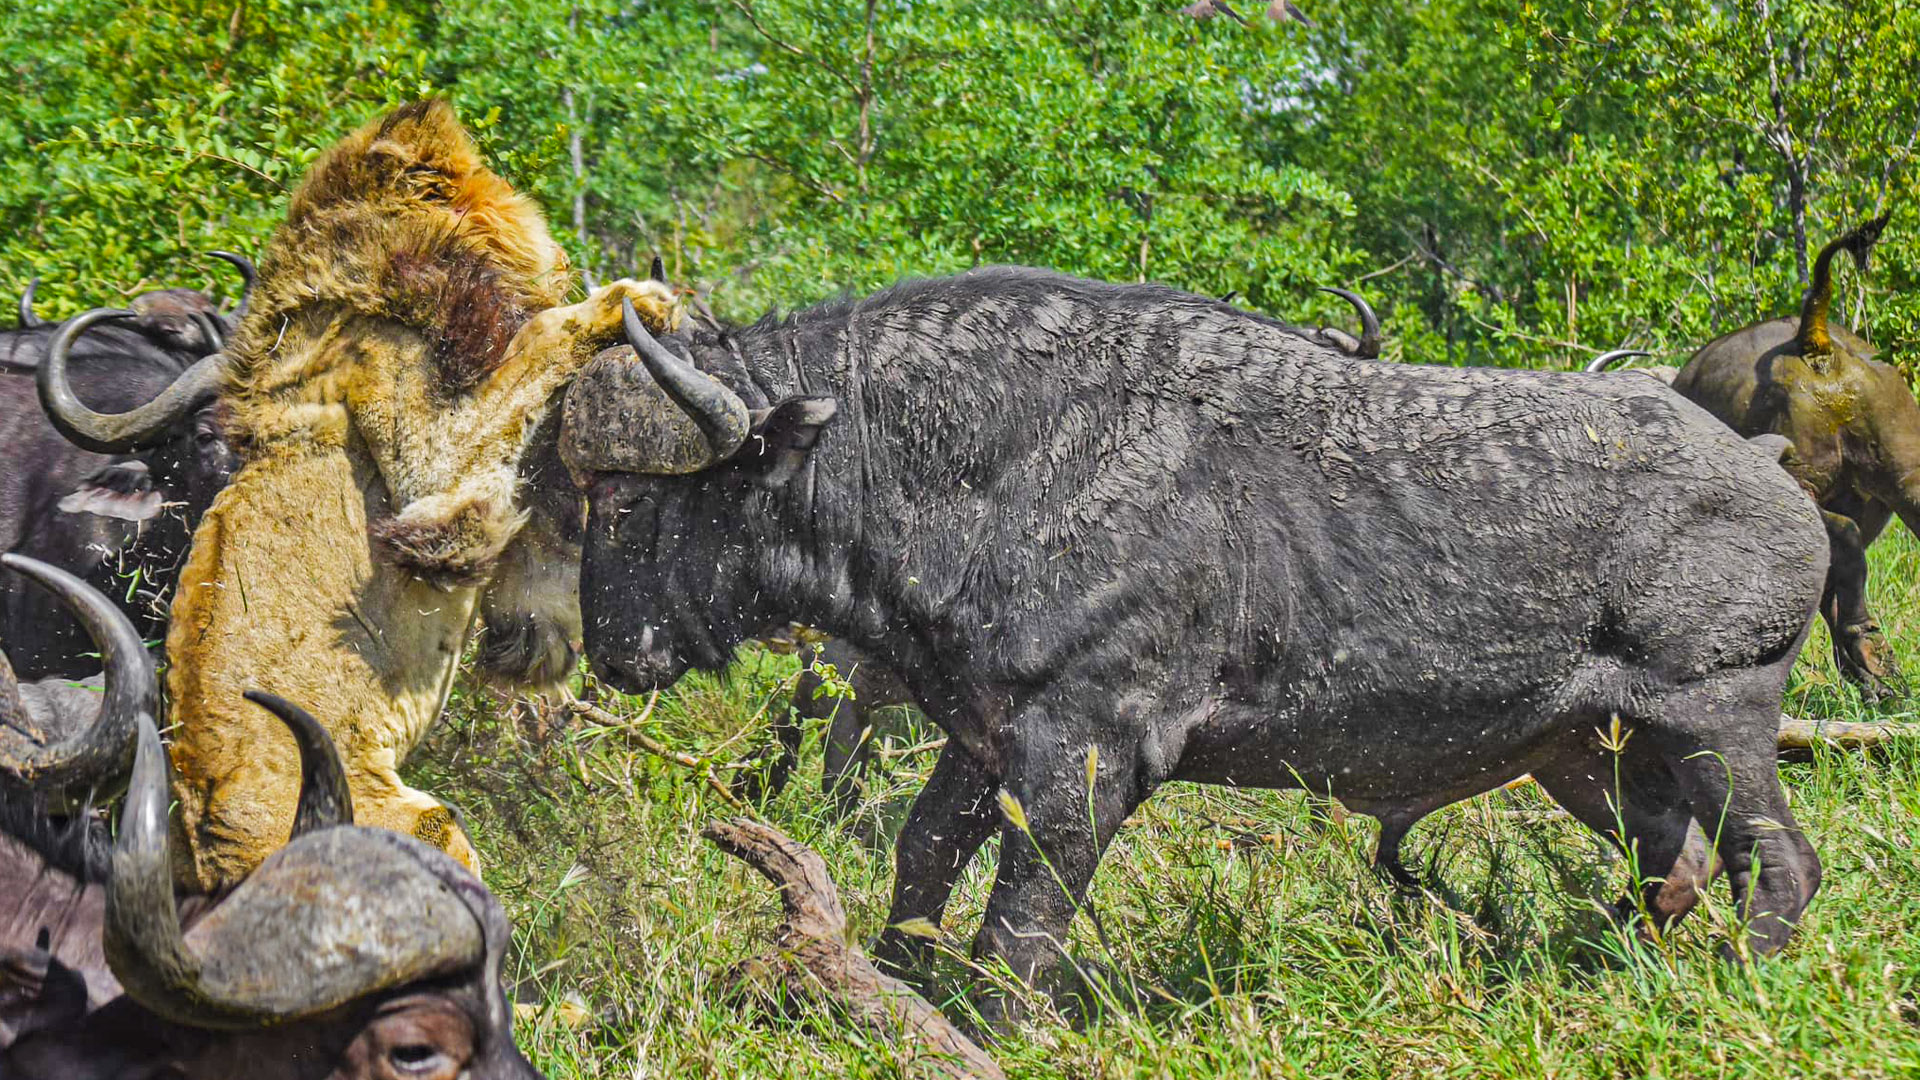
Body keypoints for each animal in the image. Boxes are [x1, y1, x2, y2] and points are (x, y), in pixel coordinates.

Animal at [560, 269, 1827, 1006]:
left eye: (621, 502)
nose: (612, 653)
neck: (986, 462)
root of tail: (1772, 478)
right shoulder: (983, 741)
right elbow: (920, 865)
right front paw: (892, 990)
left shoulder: (1085, 762)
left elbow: (1020, 932)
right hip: (1590, 755)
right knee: (1675, 868)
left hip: (1715, 717)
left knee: (1780, 867)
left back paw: (1740, 990)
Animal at [1658, 216, 1912, 699]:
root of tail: (1811, 343)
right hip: (1905, 470)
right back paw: (1874, 663)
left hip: (1797, 480)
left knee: (1844, 539)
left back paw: (1867, 647)